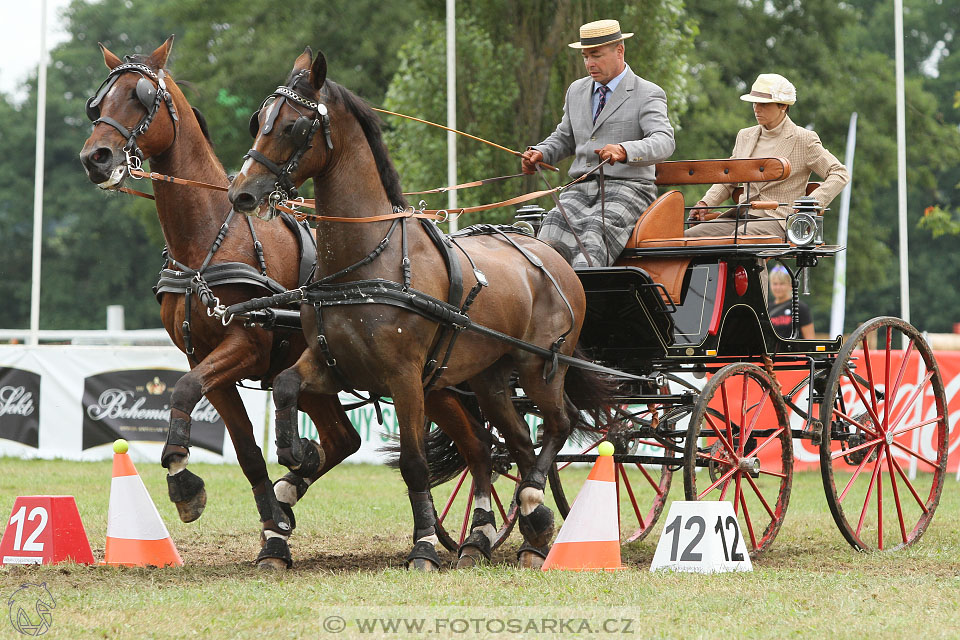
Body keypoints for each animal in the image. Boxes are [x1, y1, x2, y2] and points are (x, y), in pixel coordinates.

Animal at [77, 38, 488, 568]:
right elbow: (246, 450)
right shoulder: (204, 356)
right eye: (98, 103)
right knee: (346, 439)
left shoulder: (245, 347)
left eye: (141, 97)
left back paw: (483, 533)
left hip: (434, 381)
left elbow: (183, 391)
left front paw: (186, 483)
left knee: (479, 447)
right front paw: (270, 528)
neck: (209, 242)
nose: (96, 157)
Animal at [229, 50, 612, 568]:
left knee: (558, 424)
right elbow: (288, 385)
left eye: (293, 126)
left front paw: (425, 545)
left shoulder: (404, 376)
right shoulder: (333, 364)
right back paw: (514, 535)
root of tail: (554, 258)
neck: (367, 262)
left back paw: (531, 507)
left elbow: (413, 463)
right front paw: (294, 454)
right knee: (508, 444)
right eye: (258, 120)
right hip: (489, 379)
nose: (241, 193)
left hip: (540, 368)